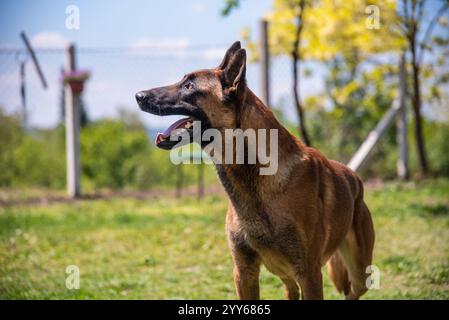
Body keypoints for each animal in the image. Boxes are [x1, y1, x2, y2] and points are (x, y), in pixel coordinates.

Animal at [136, 41, 374, 298]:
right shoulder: (244, 272)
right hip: (281, 269)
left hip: (360, 272)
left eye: (189, 86)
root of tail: (353, 176)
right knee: (291, 289)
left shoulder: (309, 274)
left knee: (352, 290)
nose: (139, 96)